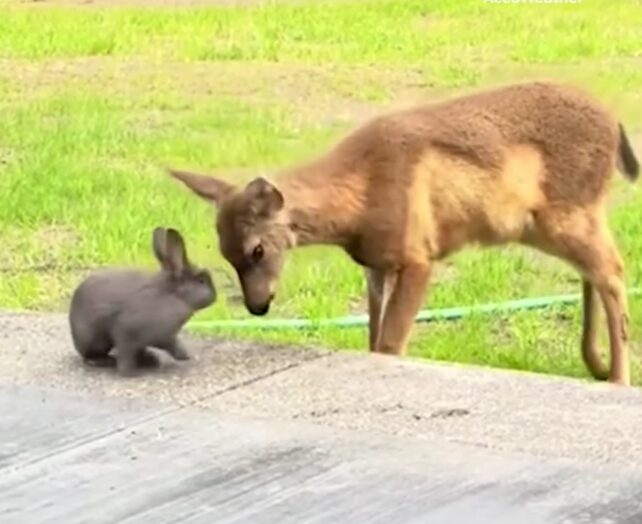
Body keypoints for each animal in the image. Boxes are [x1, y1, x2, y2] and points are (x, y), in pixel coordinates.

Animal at [68, 226, 217, 377]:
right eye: (201, 281)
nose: (215, 297)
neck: (173, 297)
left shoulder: (164, 336)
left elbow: (171, 344)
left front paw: (183, 356)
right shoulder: (126, 331)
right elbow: (126, 353)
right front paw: (128, 373)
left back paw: (150, 360)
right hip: (94, 340)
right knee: (89, 356)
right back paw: (103, 361)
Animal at [168, 81, 639, 386]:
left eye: (258, 249)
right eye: (224, 253)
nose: (258, 306)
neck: (358, 201)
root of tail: (616, 125)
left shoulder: (417, 256)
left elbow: (392, 343)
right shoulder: (377, 265)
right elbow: (373, 338)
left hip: (567, 213)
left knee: (613, 271)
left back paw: (617, 378)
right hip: (562, 220)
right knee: (595, 270)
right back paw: (596, 364)